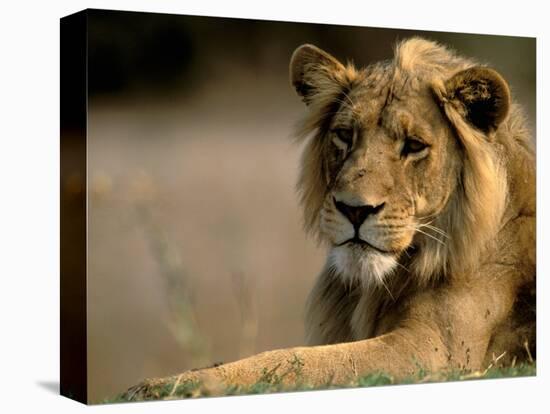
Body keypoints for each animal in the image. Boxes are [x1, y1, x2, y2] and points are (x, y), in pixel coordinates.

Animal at [123, 37, 536, 400]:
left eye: (414, 145)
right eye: (344, 135)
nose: (355, 209)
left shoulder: (437, 351)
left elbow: (294, 363)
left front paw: (166, 386)